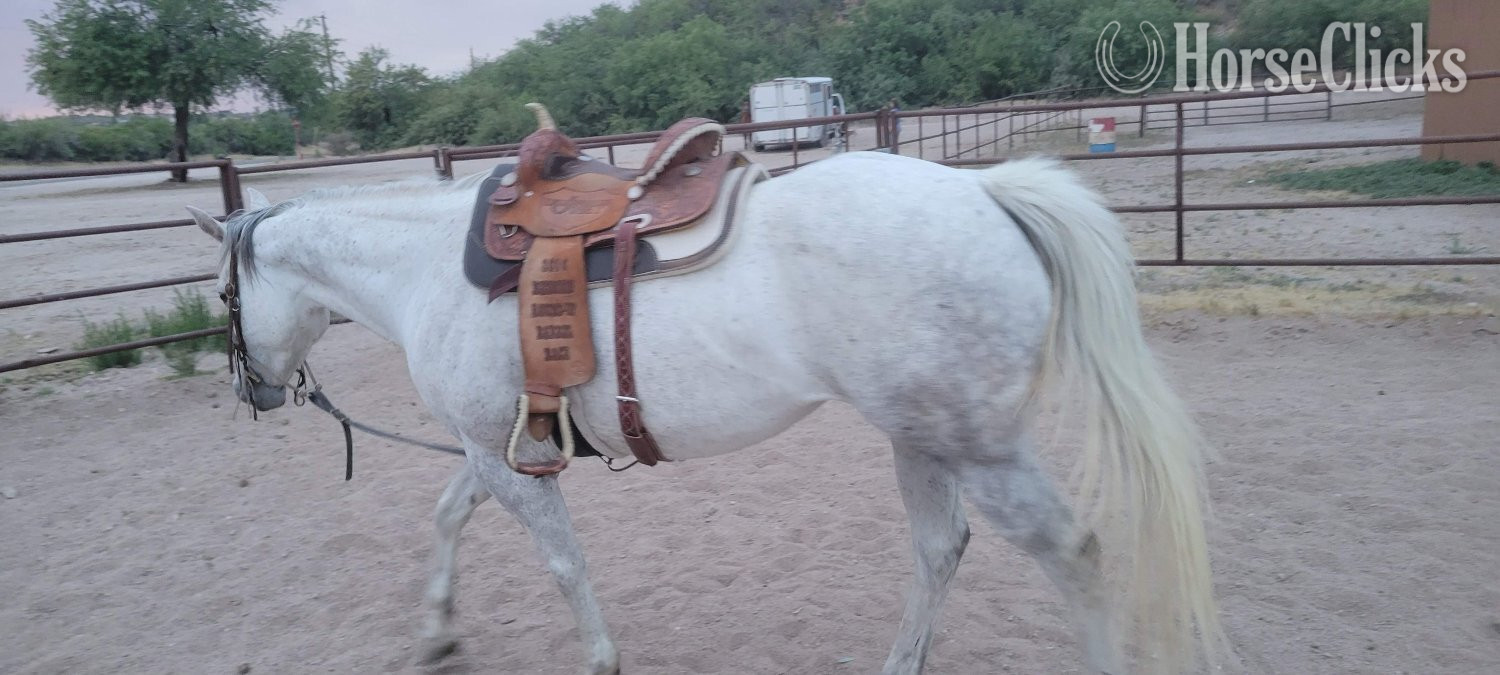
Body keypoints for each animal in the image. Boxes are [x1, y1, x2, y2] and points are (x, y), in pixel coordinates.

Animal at [185, 151, 1226, 674]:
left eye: (225, 295)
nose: (251, 390)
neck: (426, 267)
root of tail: (983, 188)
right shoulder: (498, 449)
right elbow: (447, 517)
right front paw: (439, 633)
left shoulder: (496, 453)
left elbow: (562, 563)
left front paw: (599, 658)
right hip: (921, 437)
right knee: (941, 550)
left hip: (981, 446)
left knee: (1074, 552)